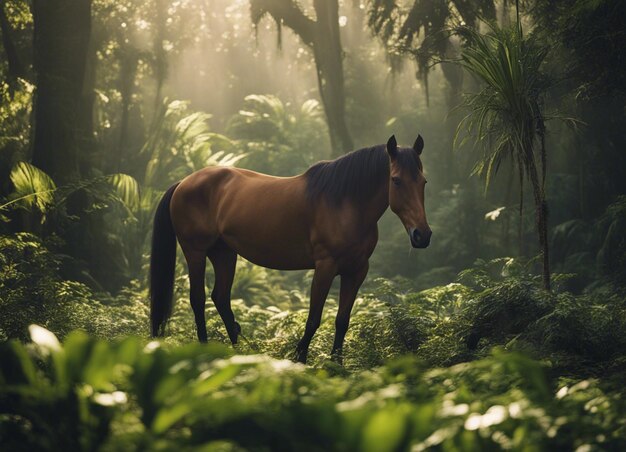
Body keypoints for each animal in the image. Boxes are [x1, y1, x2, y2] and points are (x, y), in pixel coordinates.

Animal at [150, 135, 428, 364]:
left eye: (423, 181)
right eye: (396, 180)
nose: (422, 235)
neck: (344, 203)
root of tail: (183, 183)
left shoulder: (357, 271)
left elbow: (342, 321)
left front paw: (337, 365)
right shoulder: (325, 267)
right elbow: (314, 319)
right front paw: (300, 360)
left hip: (224, 253)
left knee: (220, 297)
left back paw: (239, 353)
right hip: (195, 252)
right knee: (198, 300)